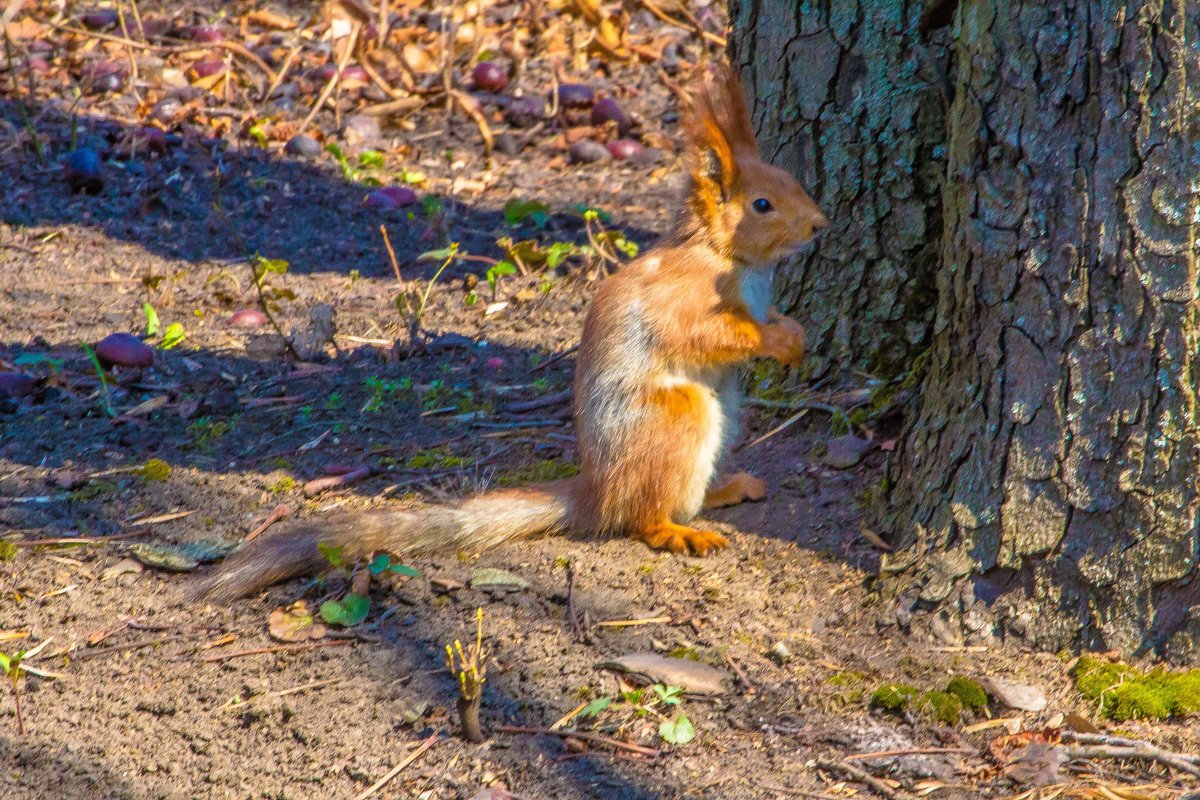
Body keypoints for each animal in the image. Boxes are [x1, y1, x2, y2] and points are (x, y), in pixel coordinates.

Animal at [196, 62, 825, 599]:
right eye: (762, 204)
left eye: (790, 181)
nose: (820, 224)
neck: (728, 257)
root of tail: (594, 491)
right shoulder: (680, 302)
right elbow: (706, 336)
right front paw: (775, 340)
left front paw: (791, 330)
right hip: (675, 420)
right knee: (638, 515)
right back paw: (674, 530)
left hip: (725, 411)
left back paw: (725, 488)